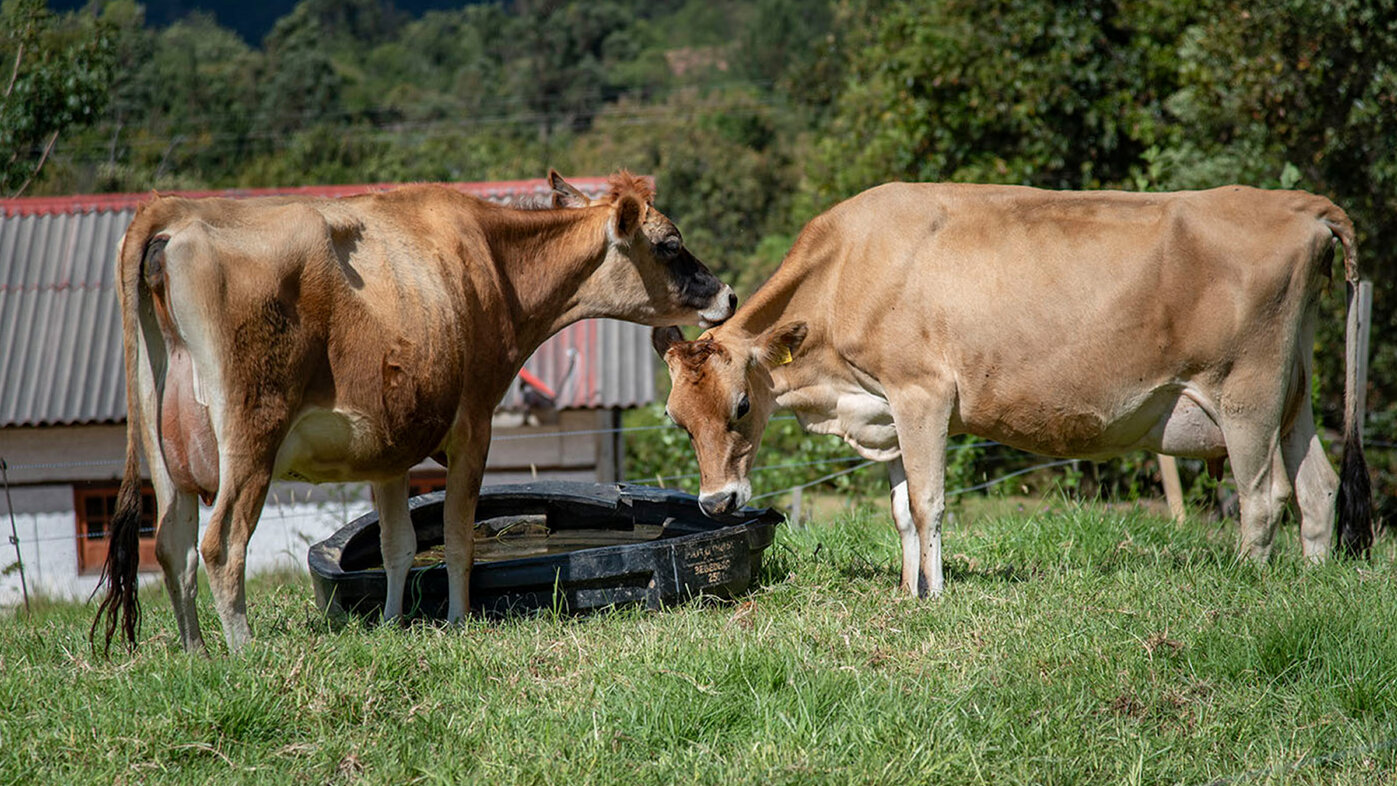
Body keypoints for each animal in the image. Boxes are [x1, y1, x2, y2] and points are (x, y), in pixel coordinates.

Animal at [92, 173, 737, 658]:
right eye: (670, 243)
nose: (727, 295)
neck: (496, 267)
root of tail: (174, 211)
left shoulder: (389, 448)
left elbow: (397, 544)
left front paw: (391, 625)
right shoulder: (474, 424)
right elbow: (456, 537)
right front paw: (456, 622)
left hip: (162, 448)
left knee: (171, 543)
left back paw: (196, 655)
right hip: (252, 431)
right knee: (222, 543)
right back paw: (245, 655)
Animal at [653, 181, 1374, 597]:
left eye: (742, 405)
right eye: (678, 419)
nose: (715, 503)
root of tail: (1296, 203)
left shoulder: (922, 395)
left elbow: (928, 505)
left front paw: (935, 599)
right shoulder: (883, 413)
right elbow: (900, 510)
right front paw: (908, 593)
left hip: (1246, 393)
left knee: (1262, 496)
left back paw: (1247, 588)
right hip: (1291, 393)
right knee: (1316, 488)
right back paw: (1311, 584)